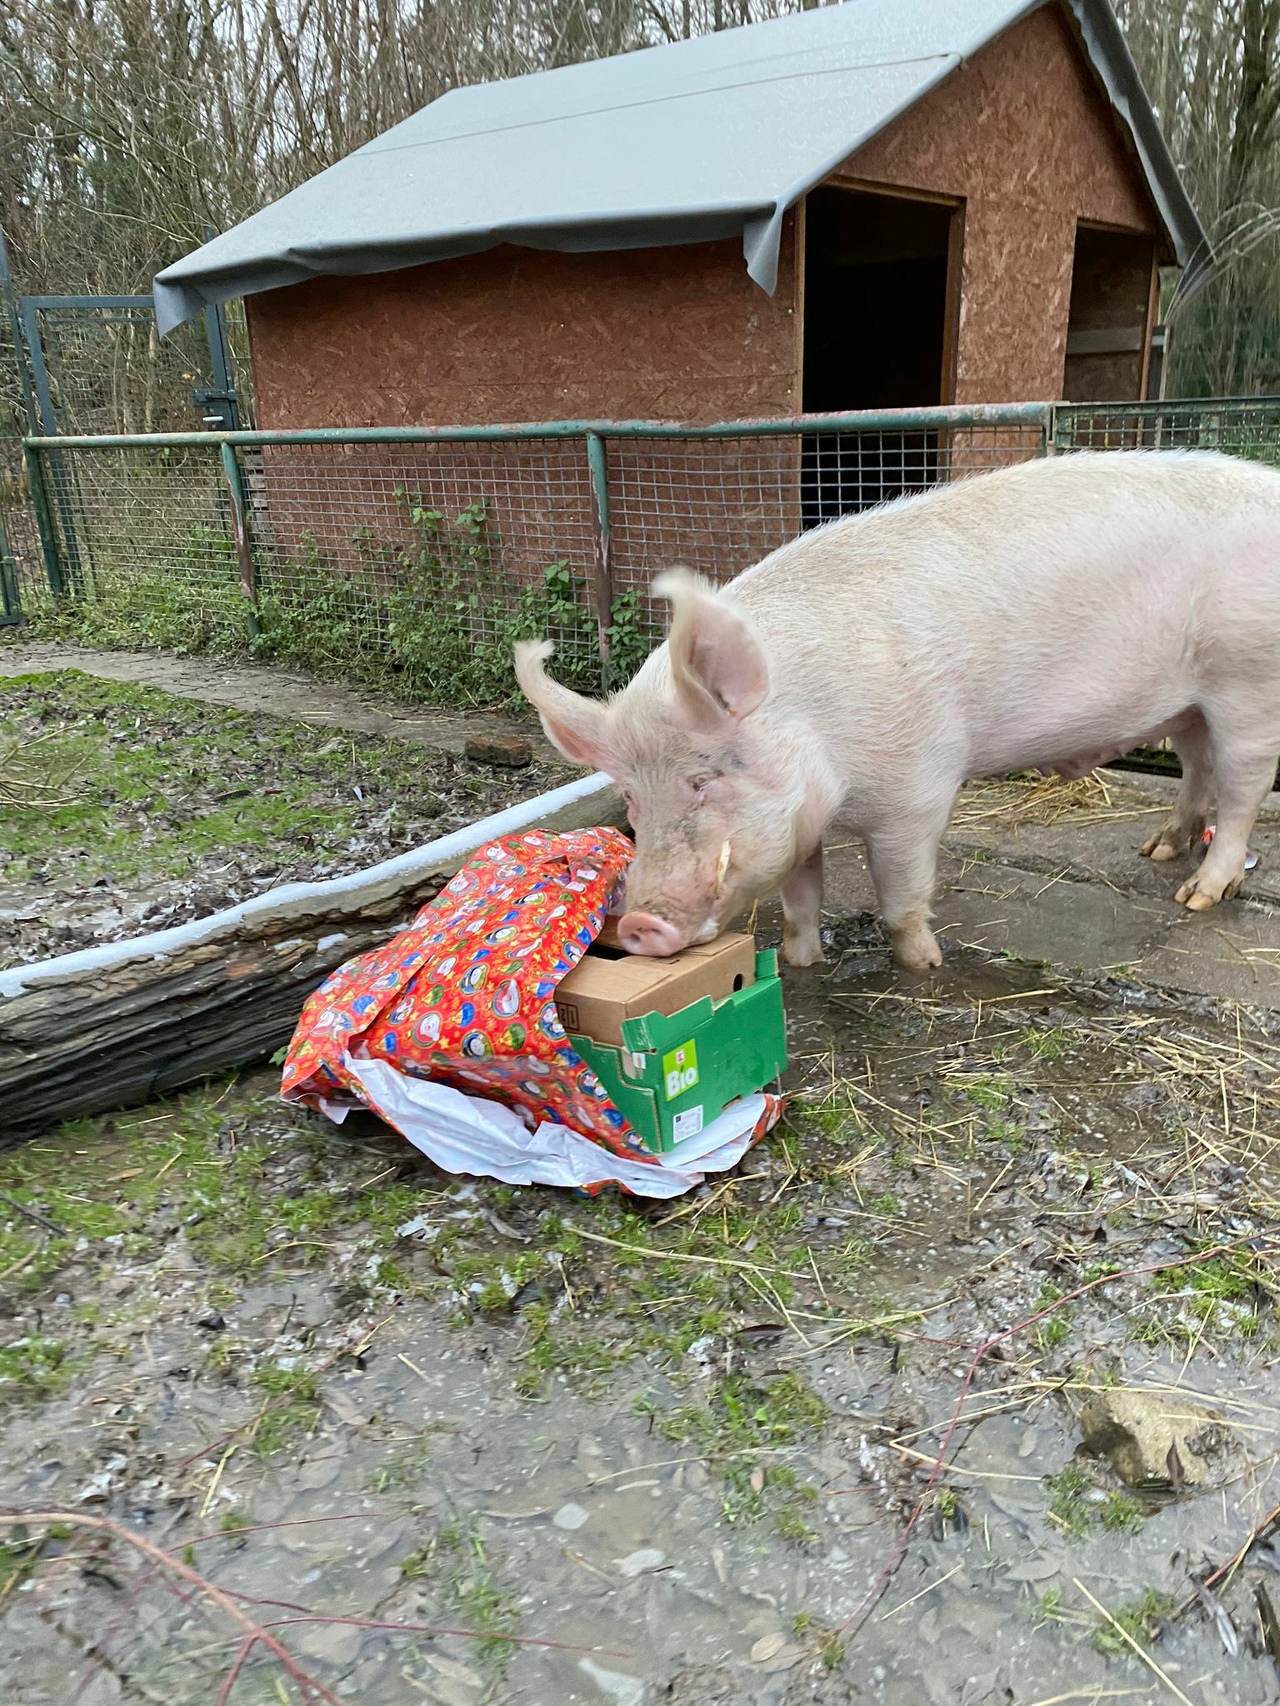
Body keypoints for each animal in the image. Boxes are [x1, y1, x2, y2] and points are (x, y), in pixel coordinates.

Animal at [515, 449, 1280, 972]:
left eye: (707, 779)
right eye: (629, 798)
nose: (640, 924)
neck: (816, 720)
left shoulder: (916, 793)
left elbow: (899, 896)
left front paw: (925, 965)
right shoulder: (800, 819)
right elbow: (800, 893)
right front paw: (798, 961)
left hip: (1249, 678)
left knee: (1244, 784)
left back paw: (1197, 895)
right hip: (1191, 702)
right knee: (1197, 765)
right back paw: (1161, 849)